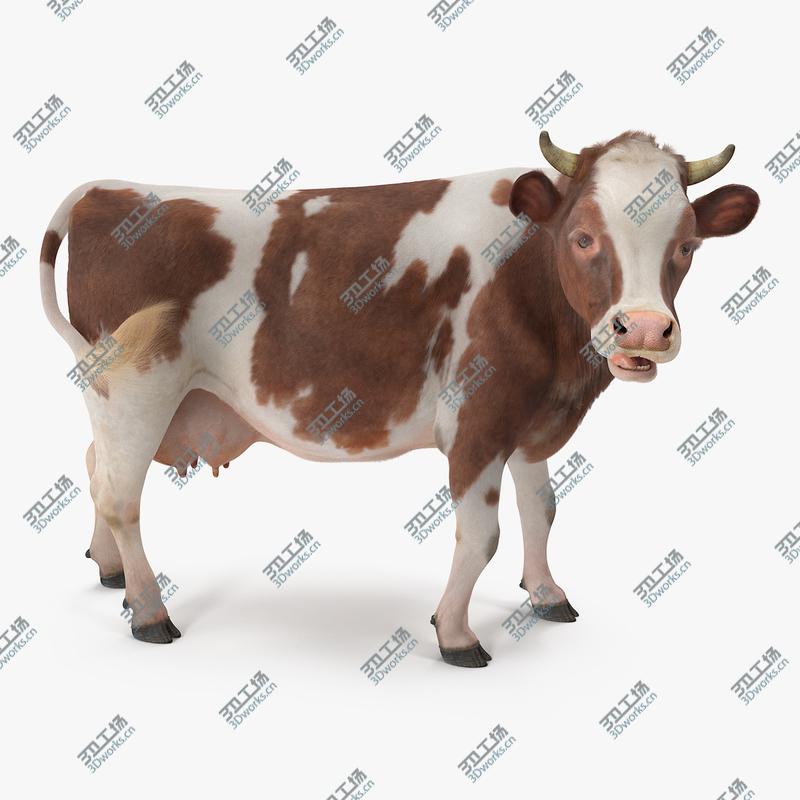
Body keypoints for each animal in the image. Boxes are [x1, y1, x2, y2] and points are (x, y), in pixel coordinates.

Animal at [39, 130, 759, 666]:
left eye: (687, 245)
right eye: (583, 237)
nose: (644, 329)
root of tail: (106, 190)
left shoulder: (532, 420)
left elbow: (542, 510)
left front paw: (546, 594)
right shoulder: (478, 420)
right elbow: (482, 535)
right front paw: (456, 634)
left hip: (118, 397)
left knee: (94, 467)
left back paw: (111, 573)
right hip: (136, 387)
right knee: (122, 495)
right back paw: (150, 612)